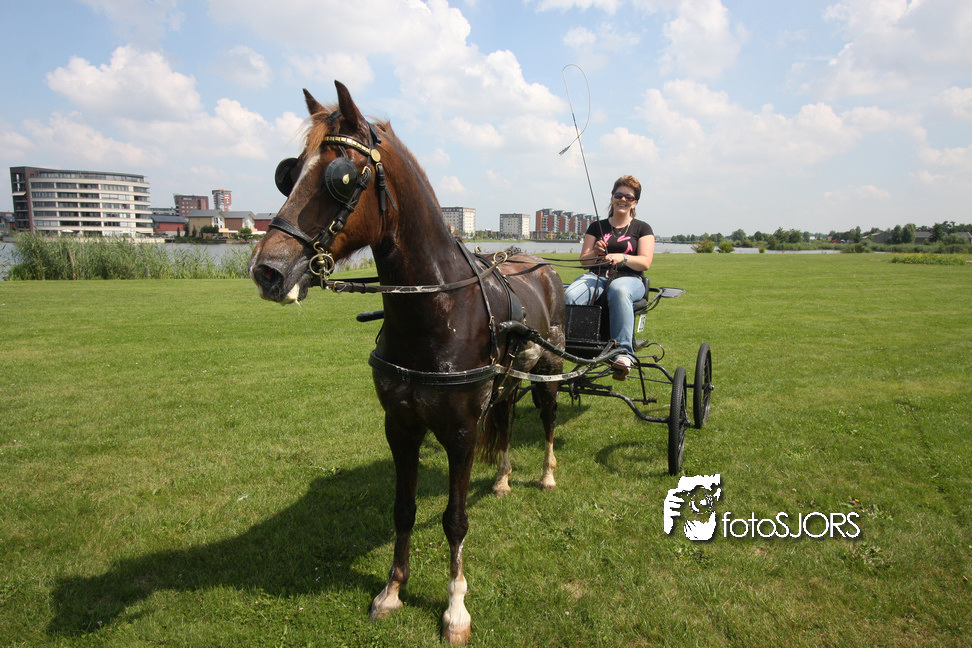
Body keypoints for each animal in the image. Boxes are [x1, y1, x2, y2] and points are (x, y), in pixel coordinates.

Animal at [248, 80, 565, 645]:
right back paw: (503, 477)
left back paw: (546, 474)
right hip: (506, 384)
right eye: (289, 172)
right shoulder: (399, 426)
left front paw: (455, 607)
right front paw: (393, 589)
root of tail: (539, 262)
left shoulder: (460, 432)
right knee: (507, 421)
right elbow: (404, 508)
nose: (267, 270)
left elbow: (455, 520)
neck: (437, 308)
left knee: (547, 418)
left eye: (341, 176)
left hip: (547, 374)